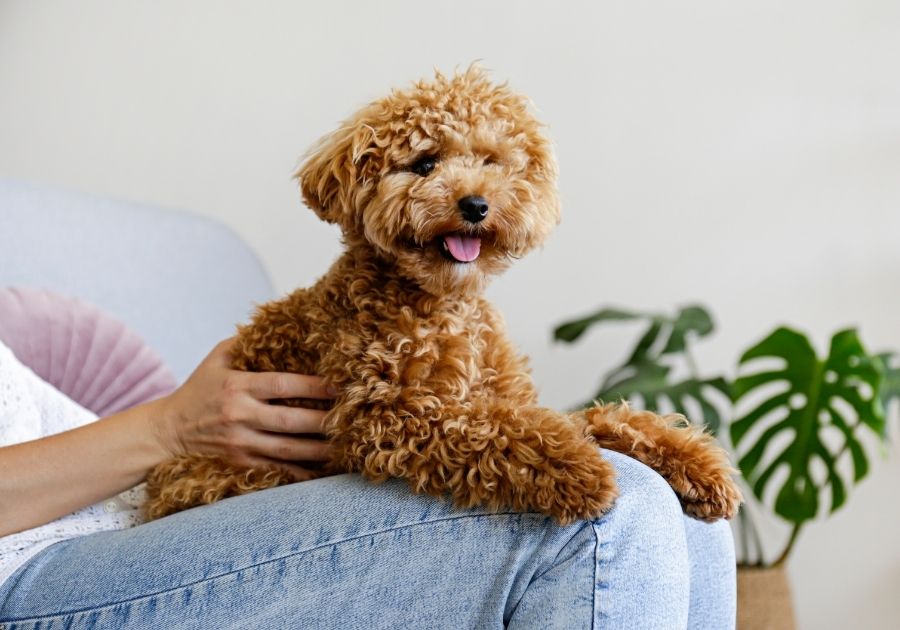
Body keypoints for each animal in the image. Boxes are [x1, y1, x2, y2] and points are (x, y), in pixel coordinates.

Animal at [146, 66, 740, 524]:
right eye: (425, 163)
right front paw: (582, 470)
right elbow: (493, 430)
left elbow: (589, 419)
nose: (475, 205)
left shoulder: (509, 399)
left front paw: (696, 464)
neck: (443, 306)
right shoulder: (386, 416)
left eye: (491, 162)